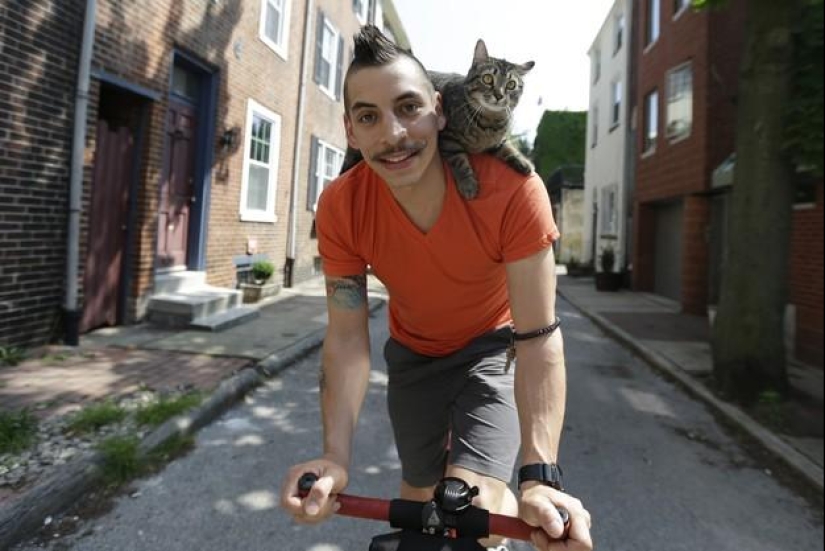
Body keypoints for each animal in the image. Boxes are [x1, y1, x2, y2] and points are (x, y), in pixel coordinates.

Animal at [340, 40, 536, 201]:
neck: (488, 121)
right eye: (488, 78)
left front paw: (524, 163)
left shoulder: (497, 141)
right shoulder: (448, 139)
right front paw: (468, 184)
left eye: (511, 85)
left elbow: (508, 148)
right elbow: (460, 161)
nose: (499, 95)